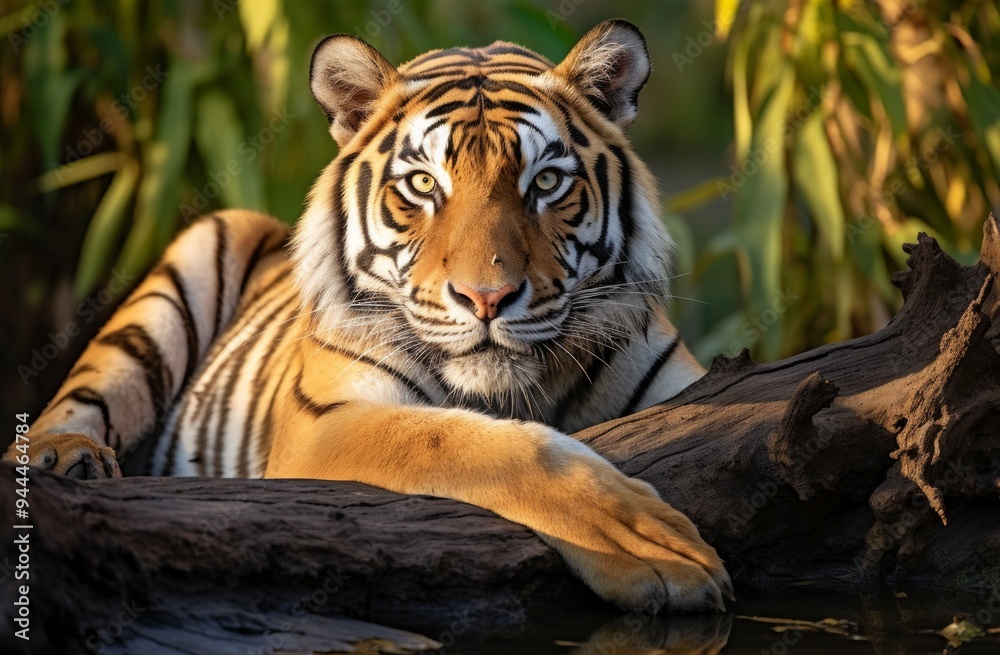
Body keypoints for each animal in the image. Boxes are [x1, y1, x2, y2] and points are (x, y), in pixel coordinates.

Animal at [5, 19, 732, 613]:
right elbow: (483, 445)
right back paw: (66, 455)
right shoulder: (323, 425)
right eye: (423, 185)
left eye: (546, 183)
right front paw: (655, 550)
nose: (487, 298)